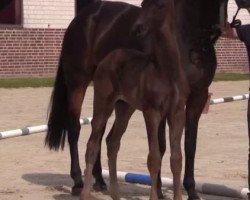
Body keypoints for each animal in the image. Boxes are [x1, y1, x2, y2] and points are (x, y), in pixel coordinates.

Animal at [45, 0, 229, 198]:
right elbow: (157, 152)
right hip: (79, 83)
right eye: (143, 4)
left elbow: (185, 150)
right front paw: (158, 192)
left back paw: (102, 182)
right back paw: (79, 183)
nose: (137, 29)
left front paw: (191, 191)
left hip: (121, 106)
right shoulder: (154, 110)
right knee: (78, 131)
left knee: (106, 137)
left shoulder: (193, 100)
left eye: (160, 6)